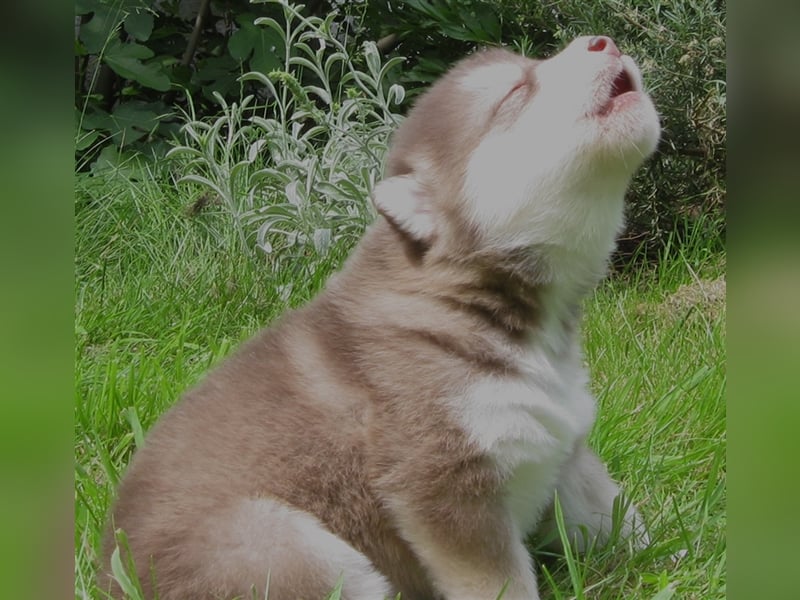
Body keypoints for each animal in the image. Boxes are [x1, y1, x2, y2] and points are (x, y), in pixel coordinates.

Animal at [100, 35, 664, 596]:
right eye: (515, 91)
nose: (602, 41)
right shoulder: (445, 485)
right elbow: (499, 583)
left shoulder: (569, 452)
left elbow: (618, 516)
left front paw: (668, 556)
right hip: (291, 549)